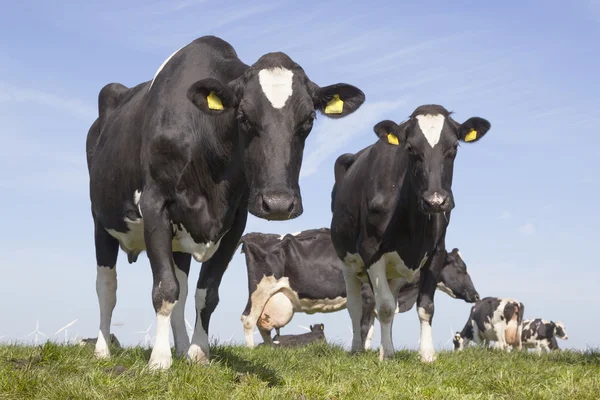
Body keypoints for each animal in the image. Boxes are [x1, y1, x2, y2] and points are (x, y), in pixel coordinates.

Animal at [238, 228, 478, 346]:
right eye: (462, 268)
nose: (476, 295)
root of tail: (252, 236)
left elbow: (371, 329)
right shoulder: (366, 295)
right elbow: (363, 329)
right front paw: (361, 353)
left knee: (263, 326)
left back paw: (270, 350)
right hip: (259, 290)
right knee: (248, 319)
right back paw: (251, 350)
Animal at [328, 104, 492, 360]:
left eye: (454, 147)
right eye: (410, 148)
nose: (435, 201)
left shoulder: (436, 251)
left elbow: (425, 307)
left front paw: (427, 354)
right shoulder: (370, 249)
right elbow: (384, 307)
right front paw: (387, 355)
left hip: (395, 272)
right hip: (347, 261)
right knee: (356, 307)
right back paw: (357, 349)